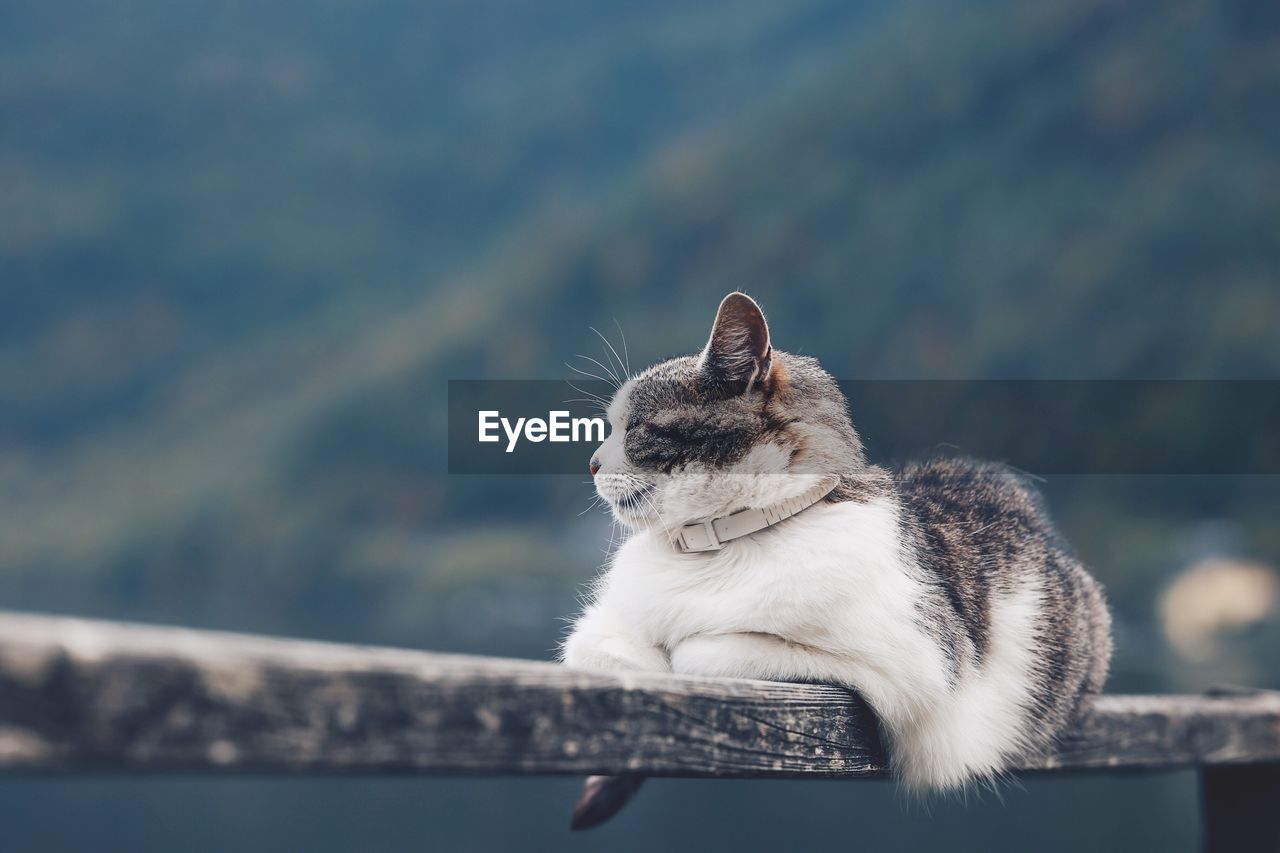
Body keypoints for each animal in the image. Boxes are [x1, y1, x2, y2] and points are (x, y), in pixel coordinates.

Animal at [558, 290, 1111, 824]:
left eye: (637, 427)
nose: (591, 464)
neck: (716, 546)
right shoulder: (595, 632)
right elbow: (606, 650)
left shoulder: (917, 673)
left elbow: (704, 652)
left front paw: (681, 654)